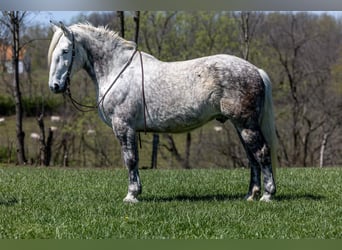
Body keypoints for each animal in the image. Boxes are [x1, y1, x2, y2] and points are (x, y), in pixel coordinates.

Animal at [48, 23, 278, 203]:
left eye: (66, 50)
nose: (55, 86)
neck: (118, 71)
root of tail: (255, 70)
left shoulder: (124, 127)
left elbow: (130, 160)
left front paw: (132, 195)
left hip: (246, 125)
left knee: (262, 153)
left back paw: (267, 195)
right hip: (240, 125)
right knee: (252, 157)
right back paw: (251, 195)